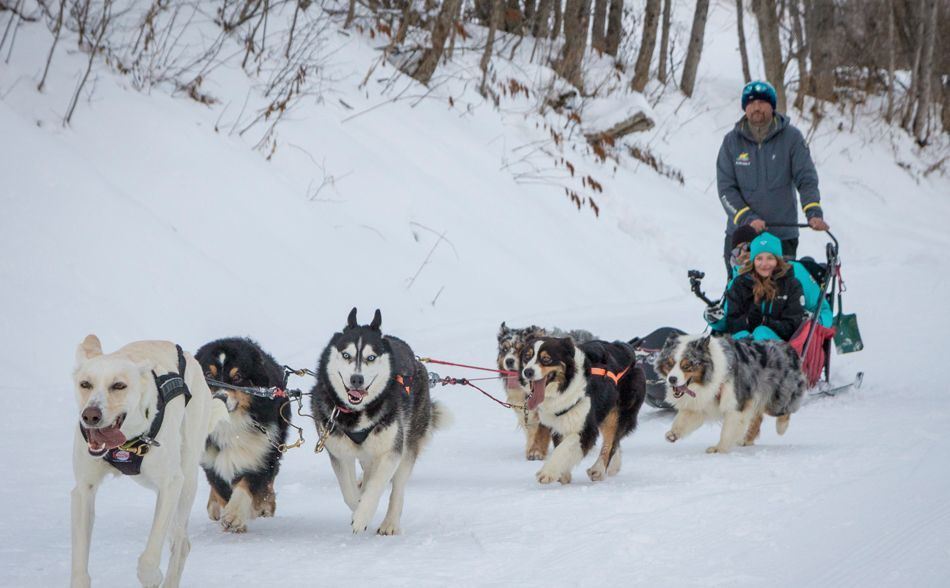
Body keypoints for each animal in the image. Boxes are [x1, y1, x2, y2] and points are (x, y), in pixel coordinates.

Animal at [71, 336, 228, 588]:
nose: (90, 415)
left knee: (181, 544)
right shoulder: (84, 490)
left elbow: (151, 554)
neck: (124, 443)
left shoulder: (171, 484)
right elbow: (79, 566)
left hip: (186, 481)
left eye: (119, 385)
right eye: (85, 384)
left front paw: (151, 576)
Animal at [520, 338, 648, 484]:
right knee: (615, 441)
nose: (527, 372)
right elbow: (561, 445)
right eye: (527, 357)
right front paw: (563, 475)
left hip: (619, 412)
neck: (566, 386)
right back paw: (614, 466)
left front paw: (548, 472)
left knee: (611, 442)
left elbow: (564, 447)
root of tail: (627, 348)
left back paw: (598, 469)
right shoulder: (558, 422)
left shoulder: (586, 428)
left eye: (546, 359)